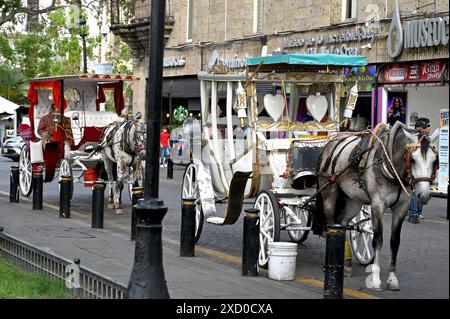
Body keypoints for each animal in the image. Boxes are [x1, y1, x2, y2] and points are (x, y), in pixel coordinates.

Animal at [314, 121, 438, 292]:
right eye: (412, 159)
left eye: (434, 160)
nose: (424, 195)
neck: (390, 165)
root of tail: (330, 142)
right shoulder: (377, 205)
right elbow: (378, 240)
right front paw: (376, 279)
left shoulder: (402, 207)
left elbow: (395, 241)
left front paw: (392, 279)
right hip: (329, 194)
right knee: (331, 224)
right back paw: (329, 263)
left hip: (353, 200)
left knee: (342, 224)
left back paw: (346, 263)